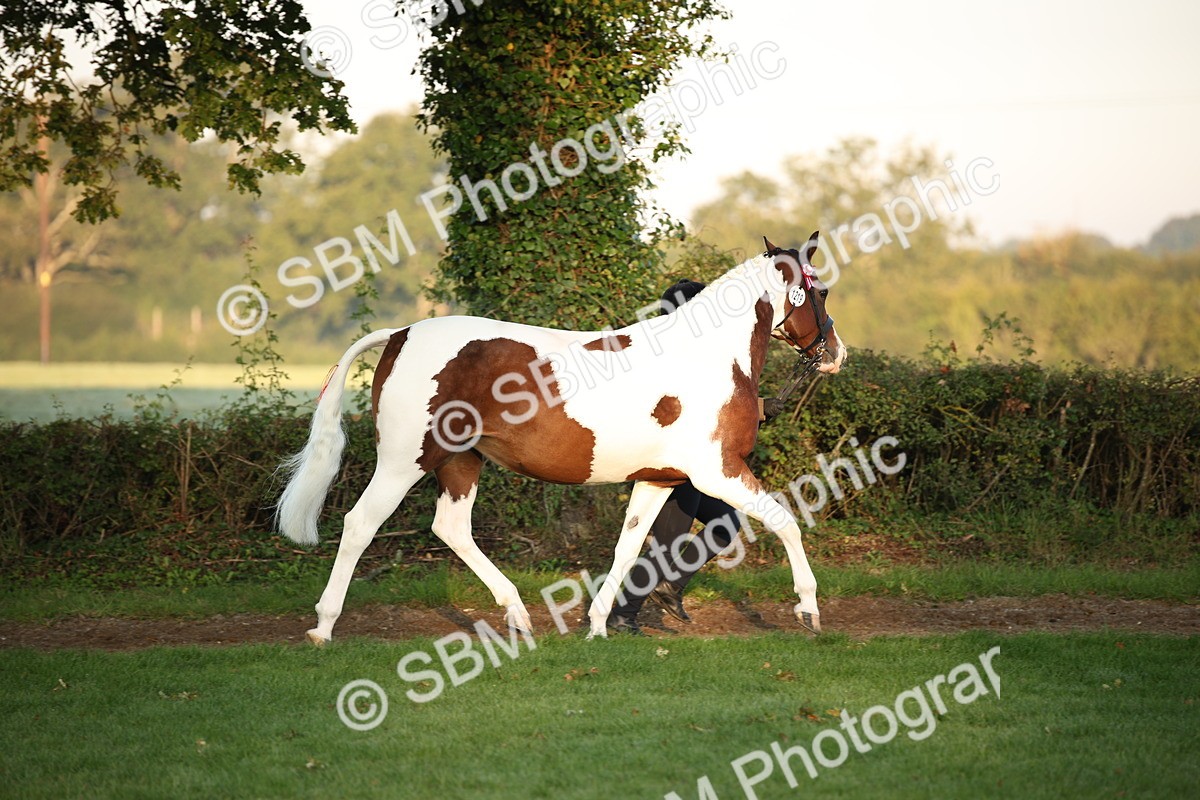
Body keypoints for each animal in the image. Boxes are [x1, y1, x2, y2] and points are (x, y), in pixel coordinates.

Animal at [277, 233, 847, 645]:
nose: (836, 353)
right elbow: (786, 523)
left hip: (460, 462)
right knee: (360, 525)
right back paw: (323, 626)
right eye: (820, 292)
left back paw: (519, 616)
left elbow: (627, 546)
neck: (708, 356)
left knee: (451, 528)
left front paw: (597, 625)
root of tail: (399, 335)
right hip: (404, 461)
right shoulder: (718, 472)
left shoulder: (658, 480)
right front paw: (808, 610)